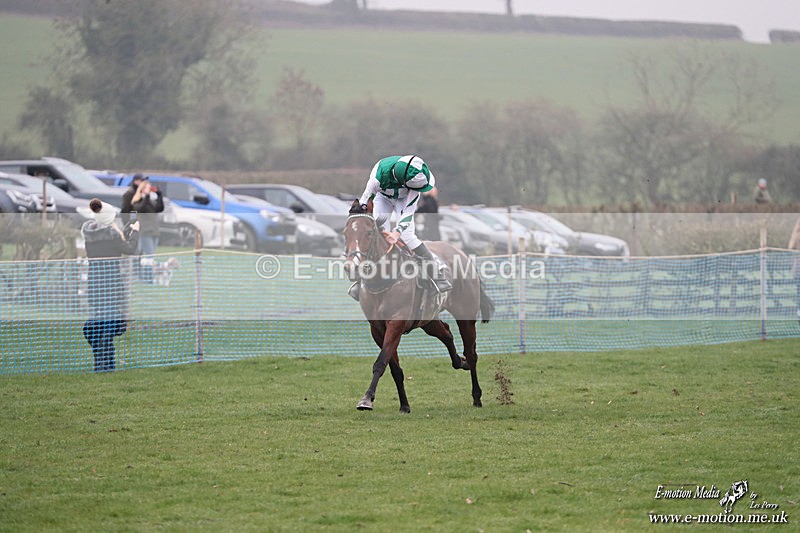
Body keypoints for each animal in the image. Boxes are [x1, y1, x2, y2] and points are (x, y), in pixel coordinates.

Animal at [342, 202, 495, 412]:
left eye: (369, 232)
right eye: (346, 233)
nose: (351, 267)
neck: (383, 280)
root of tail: (463, 255)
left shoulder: (396, 323)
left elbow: (381, 362)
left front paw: (366, 399)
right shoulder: (378, 329)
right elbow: (394, 368)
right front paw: (404, 405)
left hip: (466, 315)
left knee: (472, 354)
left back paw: (477, 396)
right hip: (427, 320)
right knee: (446, 333)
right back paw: (459, 362)